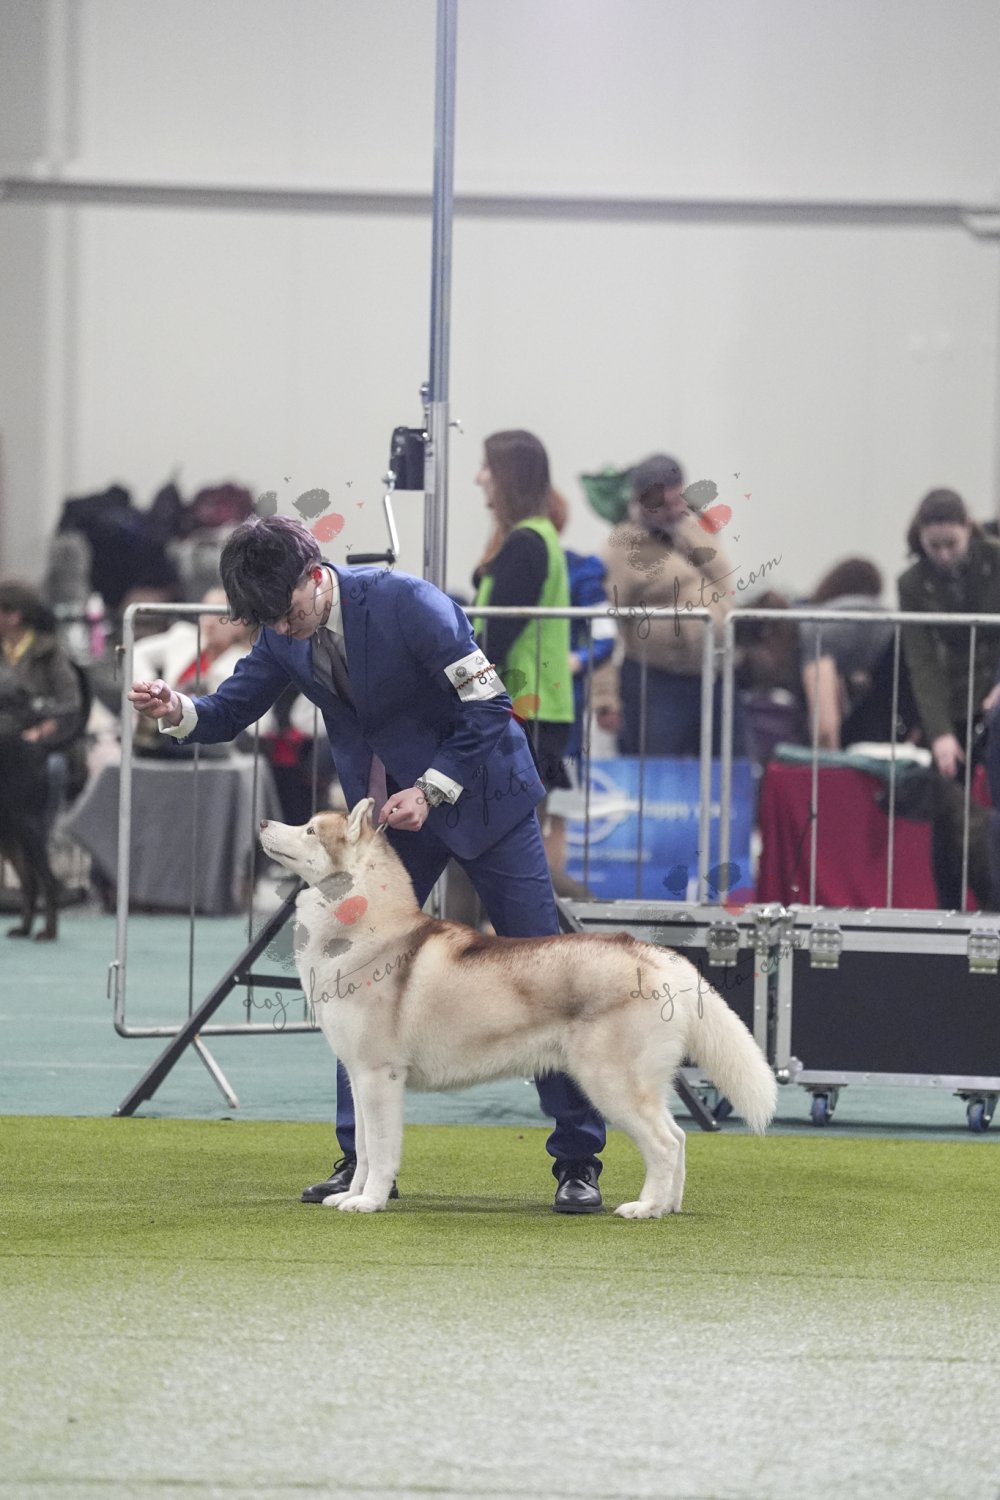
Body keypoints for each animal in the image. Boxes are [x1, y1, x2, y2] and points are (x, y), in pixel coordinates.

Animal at [259, 801, 777, 1218]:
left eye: (309, 830)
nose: (263, 821)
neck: (365, 929)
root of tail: (656, 955)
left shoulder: (380, 1076)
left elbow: (382, 1151)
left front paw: (369, 1201)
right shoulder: (359, 1074)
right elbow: (364, 1148)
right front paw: (350, 1193)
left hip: (610, 1083)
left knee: (665, 1144)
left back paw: (644, 1207)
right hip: (644, 1081)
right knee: (680, 1138)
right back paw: (668, 1205)